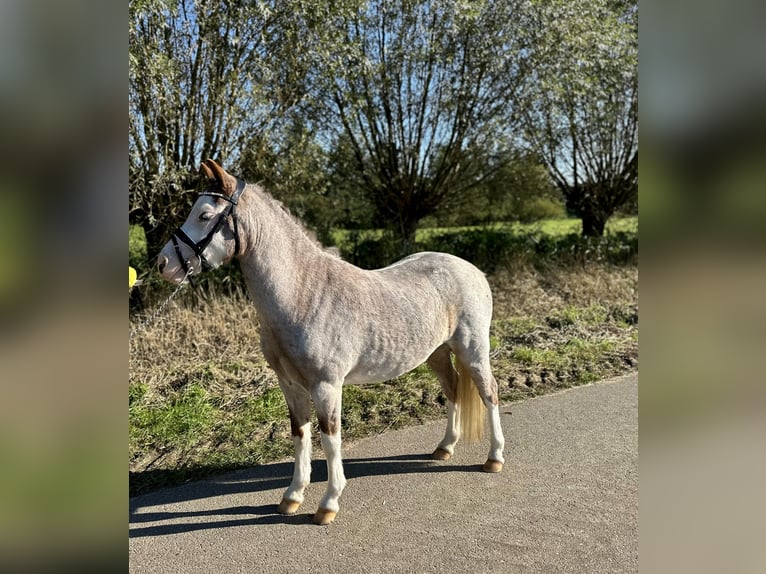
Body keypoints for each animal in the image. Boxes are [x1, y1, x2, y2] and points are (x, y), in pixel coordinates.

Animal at [157, 159, 508, 528]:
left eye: (204, 215)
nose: (163, 264)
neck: (303, 294)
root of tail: (472, 270)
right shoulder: (290, 385)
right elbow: (300, 435)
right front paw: (292, 497)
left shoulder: (326, 386)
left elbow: (329, 440)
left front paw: (328, 504)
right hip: (437, 354)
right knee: (453, 390)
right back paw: (445, 448)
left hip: (473, 351)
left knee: (489, 393)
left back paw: (494, 458)